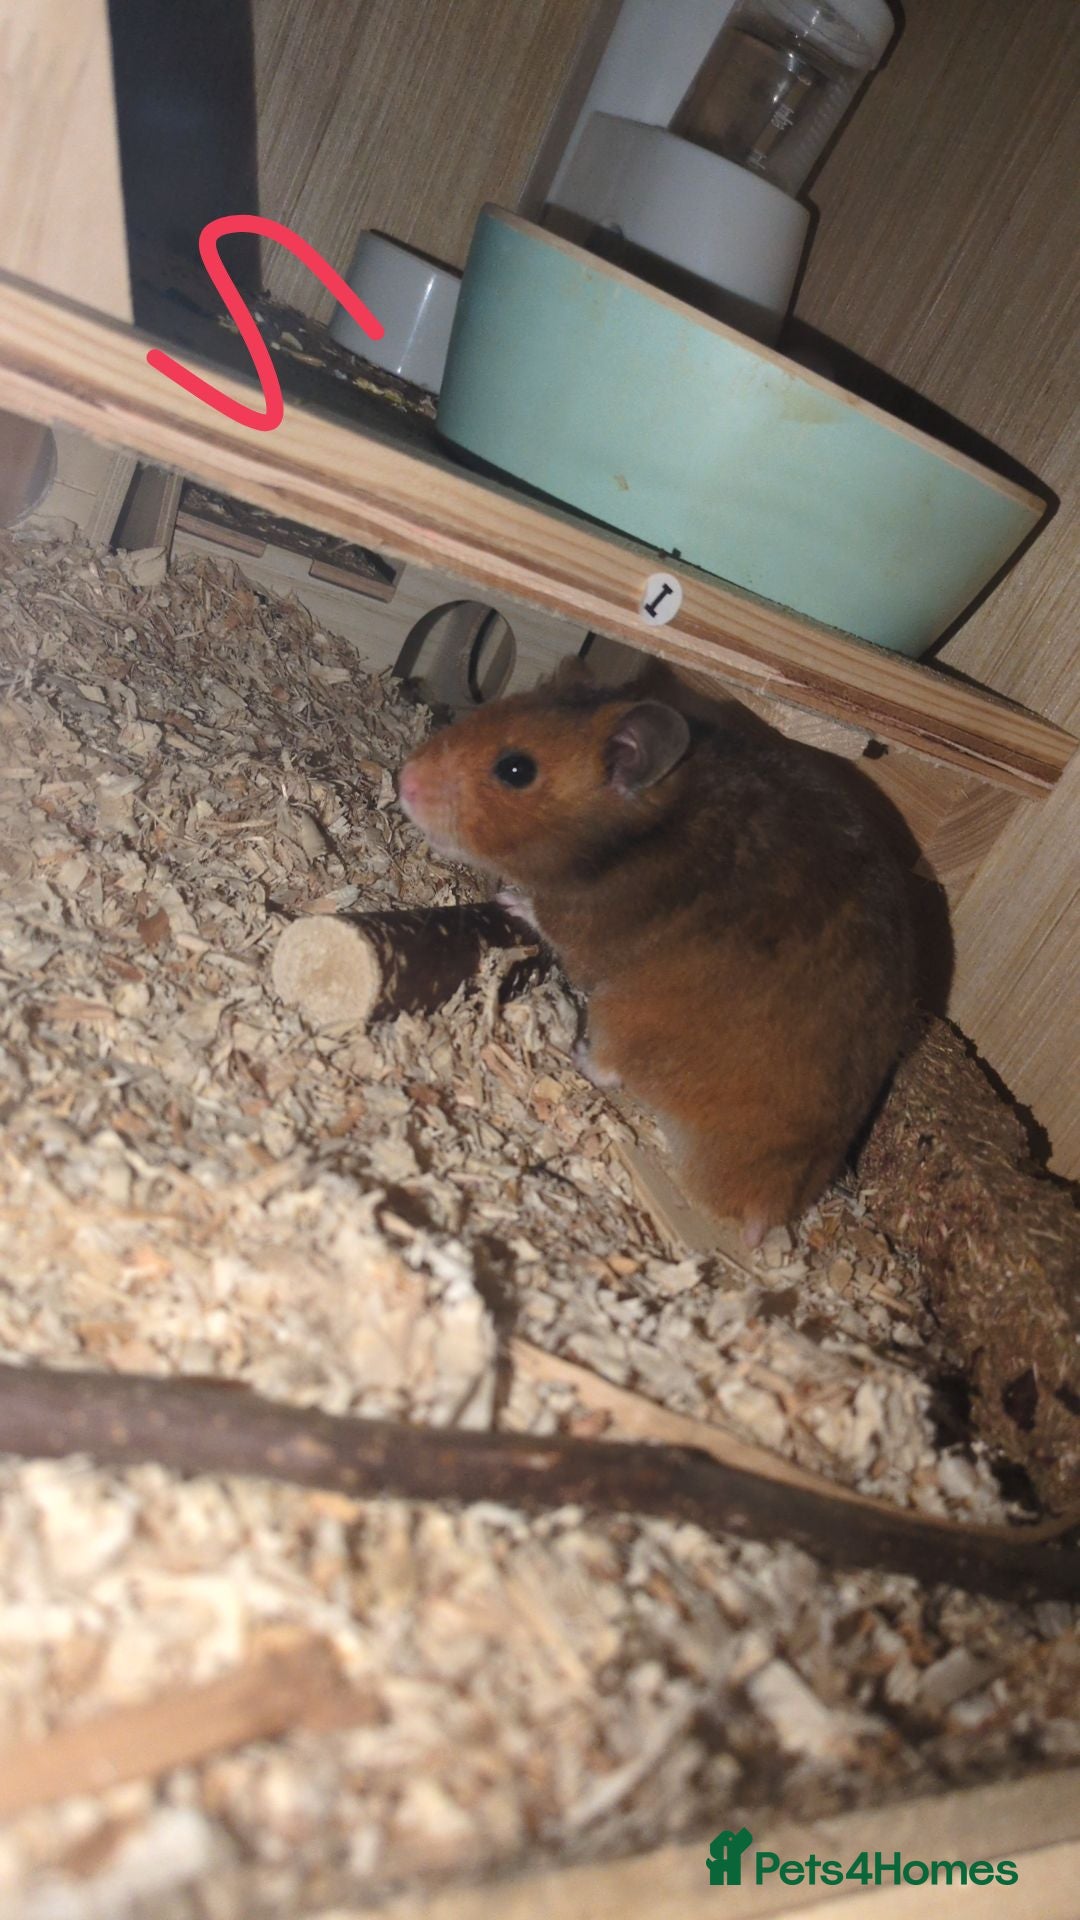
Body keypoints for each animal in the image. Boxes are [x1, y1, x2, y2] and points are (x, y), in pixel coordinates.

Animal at [397, 666, 914, 1246]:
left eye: (516, 769)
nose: (402, 780)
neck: (642, 829)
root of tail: (763, 1206)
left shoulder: (580, 925)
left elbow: (545, 917)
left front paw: (511, 898)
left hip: (623, 1013)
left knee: (610, 1069)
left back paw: (577, 1050)